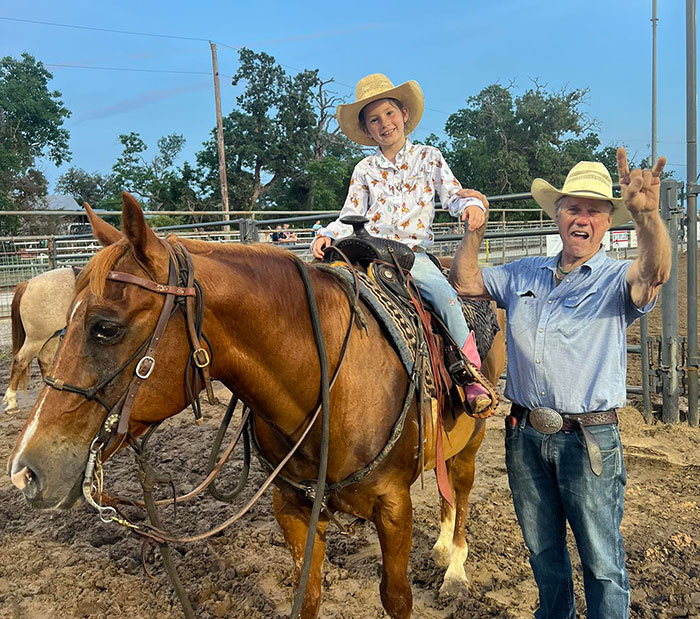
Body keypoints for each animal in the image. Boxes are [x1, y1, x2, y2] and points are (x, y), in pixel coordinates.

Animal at [2, 268, 76, 414]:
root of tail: (28, 283)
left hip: (52, 336)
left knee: (44, 361)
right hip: (36, 339)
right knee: (20, 361)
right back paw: (11, 401)